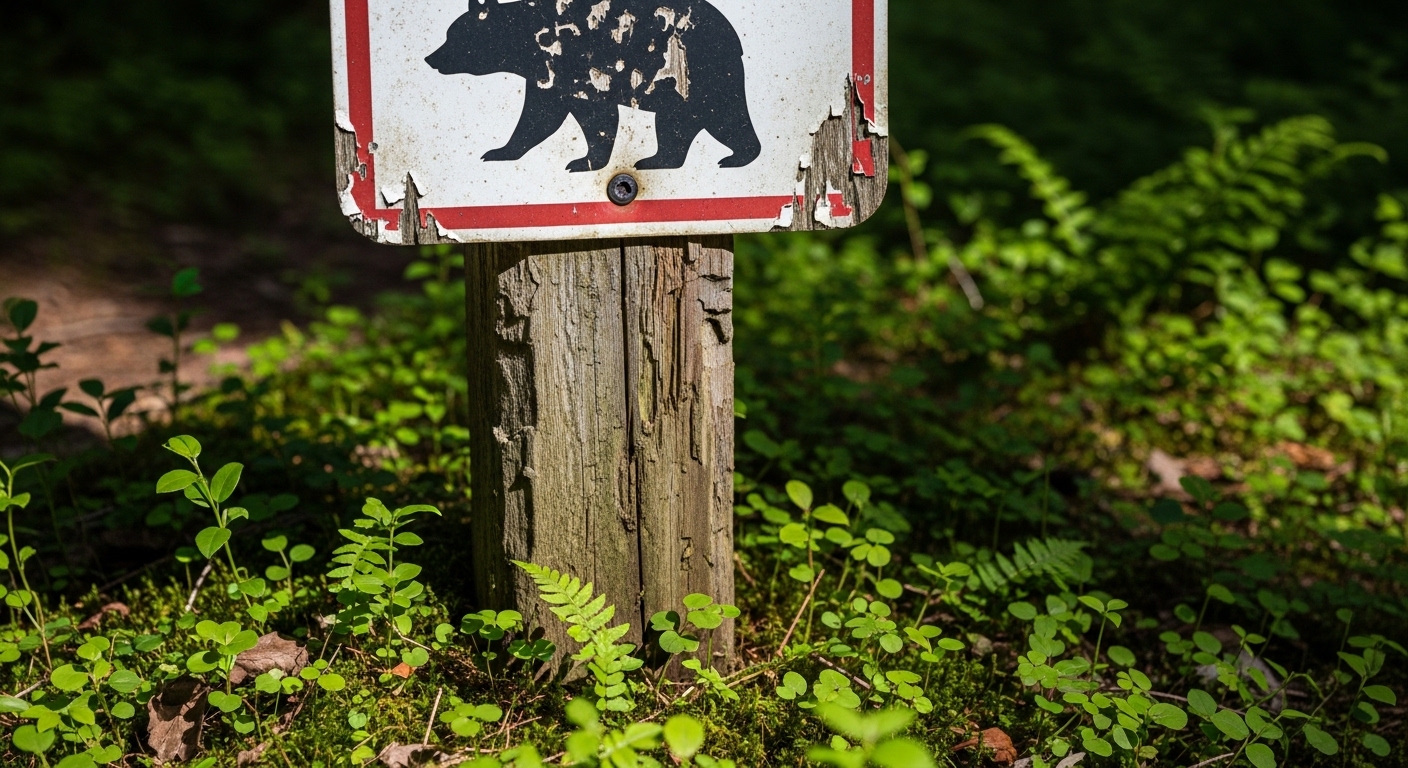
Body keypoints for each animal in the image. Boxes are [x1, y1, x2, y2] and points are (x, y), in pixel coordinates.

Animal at [425, 0, 762, 173]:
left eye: (453, 35)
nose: (430, 58)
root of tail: (734, 39)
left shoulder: (577, 65)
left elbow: (596, 116)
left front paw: (581, 161)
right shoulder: (548, 76)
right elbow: (539, 116)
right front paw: (499, 151)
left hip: (697, 73)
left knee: (722, 116)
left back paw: (735, 157)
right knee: (682, 124)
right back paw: (659, 159)